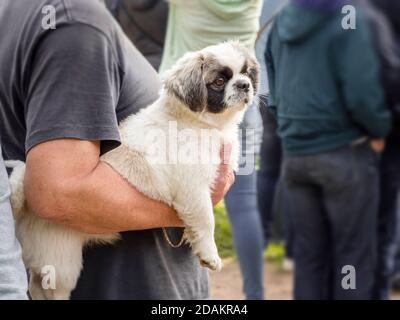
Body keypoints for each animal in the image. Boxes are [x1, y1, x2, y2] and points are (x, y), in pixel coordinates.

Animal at [8, 40, 262, 300]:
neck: (202, 124)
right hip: (61, 261)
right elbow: (206, 221)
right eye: (219, 82)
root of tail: (24, 203)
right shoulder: (194, 190)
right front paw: (209, 254)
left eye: (247, 73)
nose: (244, 84)